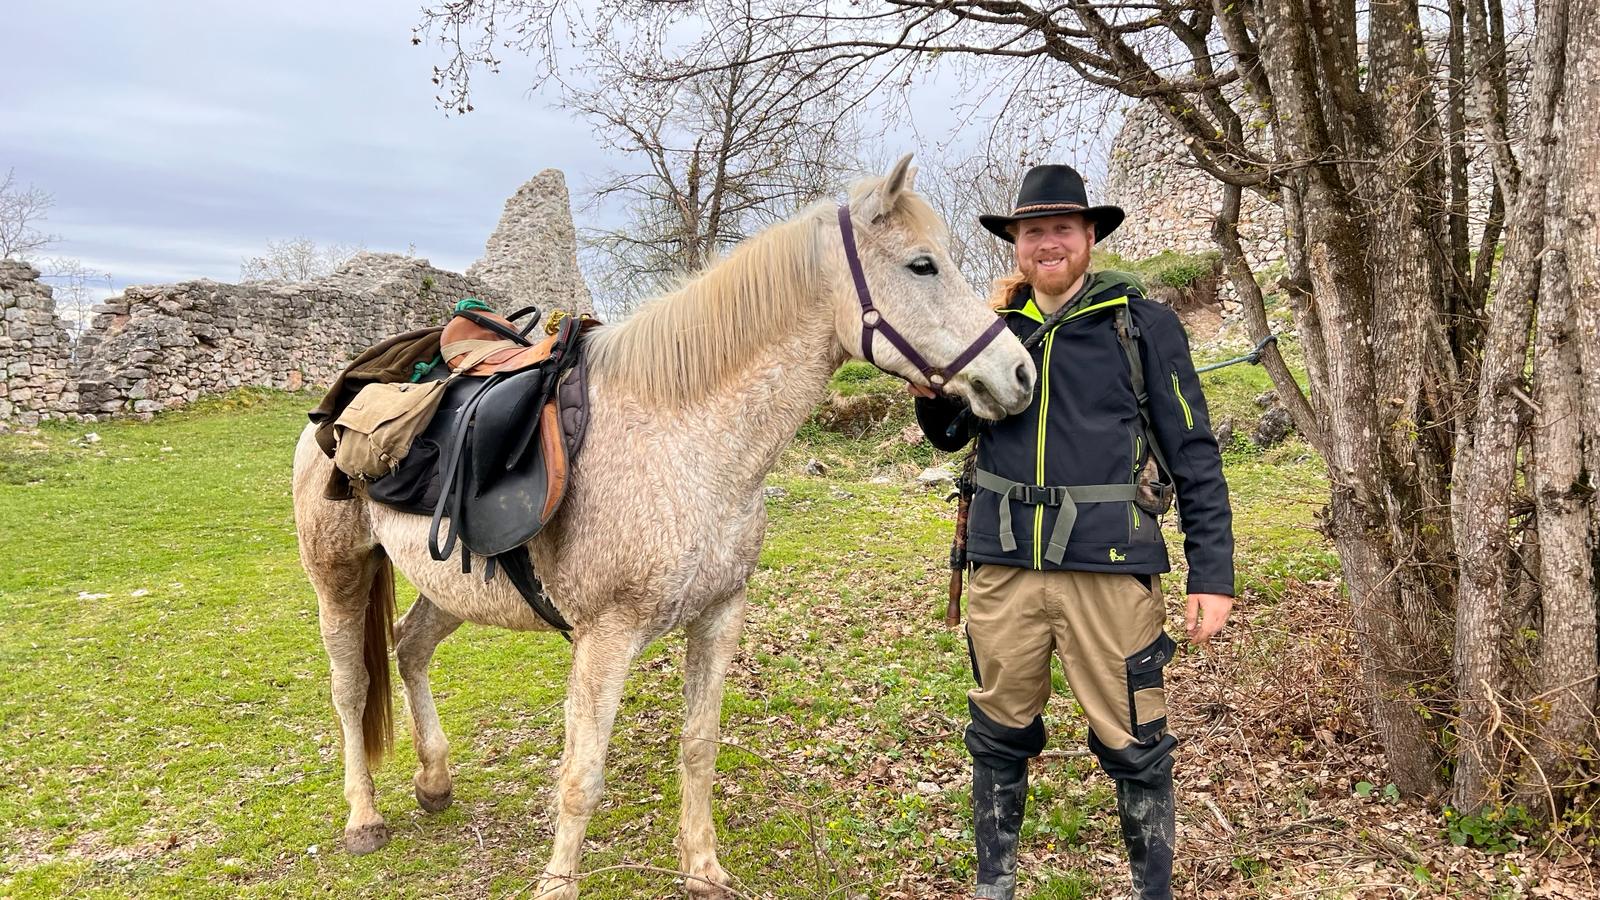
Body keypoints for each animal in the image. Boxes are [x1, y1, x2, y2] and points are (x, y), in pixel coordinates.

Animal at [292, 157, 1030, 890]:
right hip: (339, 576)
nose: (1020, 373)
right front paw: (558, 883)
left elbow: (698, 746)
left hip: (453, 586)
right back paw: (363, 818)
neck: (688, 444)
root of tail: (339, 403)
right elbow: (582, 777)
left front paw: (702, 867)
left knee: (411, 648)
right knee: (350, 687)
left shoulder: (720, 615)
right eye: (921, 265)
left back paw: (435, 780)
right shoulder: (605, 639)